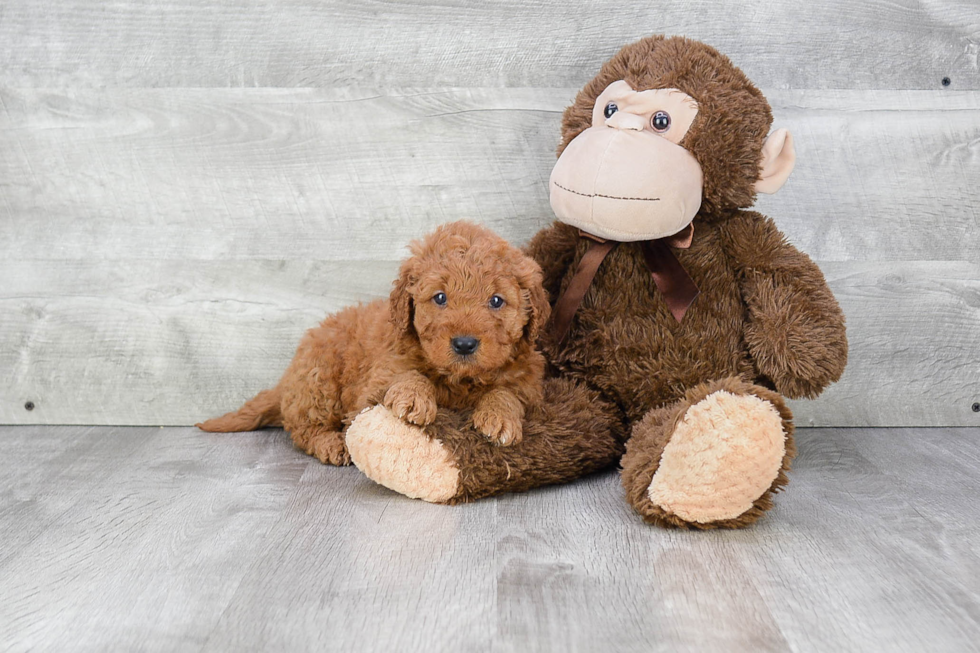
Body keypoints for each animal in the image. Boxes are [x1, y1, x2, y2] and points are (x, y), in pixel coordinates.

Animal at [199, 222, 552, 466]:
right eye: (440, 297)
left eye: (496, 301)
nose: (464, 344)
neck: (459, 379)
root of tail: (286, 380)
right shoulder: (375, 382)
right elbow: (408, 375)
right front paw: (413, 397)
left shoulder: (528, 382)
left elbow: (506, 392)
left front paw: (499, 417)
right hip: (320, 380)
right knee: (302, 429)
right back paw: (332, 444)